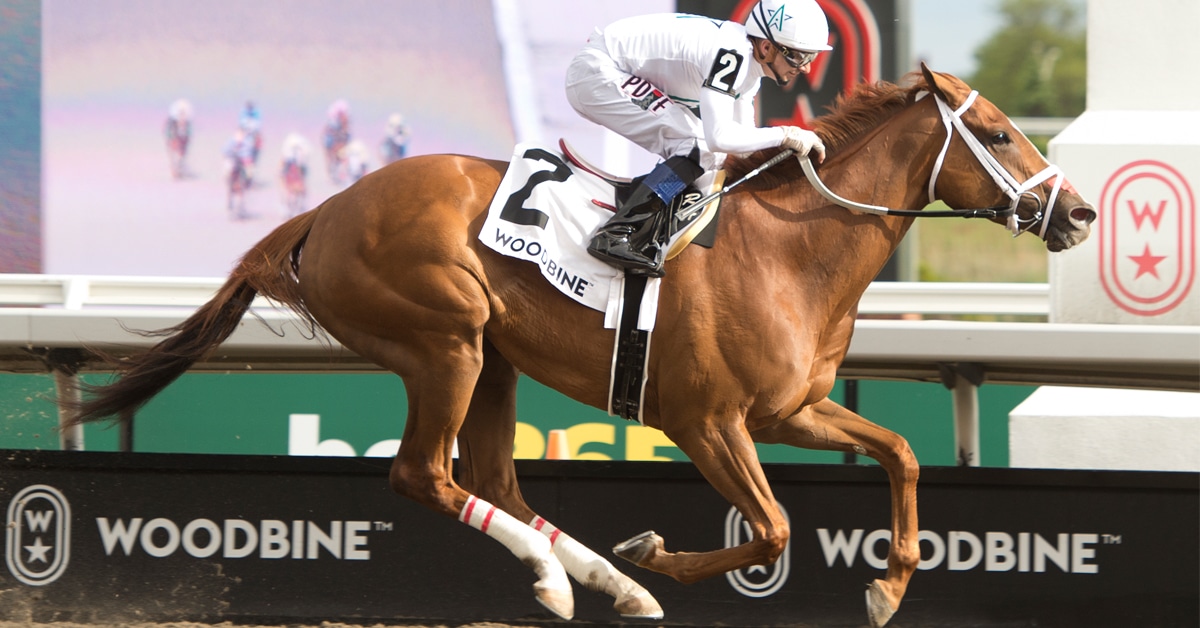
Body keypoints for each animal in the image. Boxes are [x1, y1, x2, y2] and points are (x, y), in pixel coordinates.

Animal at [67, 66, 1094, 627]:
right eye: (998, 133)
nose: (1079, 213)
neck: (791, 250)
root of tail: (325, 211)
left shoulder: (792, 411)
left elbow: (904, 453)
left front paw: (889, 584)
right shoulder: (708, 421)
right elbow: (770, 528)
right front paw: (659, 552)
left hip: (492, 358)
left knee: (493, 479)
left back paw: (598, 582)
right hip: (446, 341)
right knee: (425, 475)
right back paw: (578, 581)